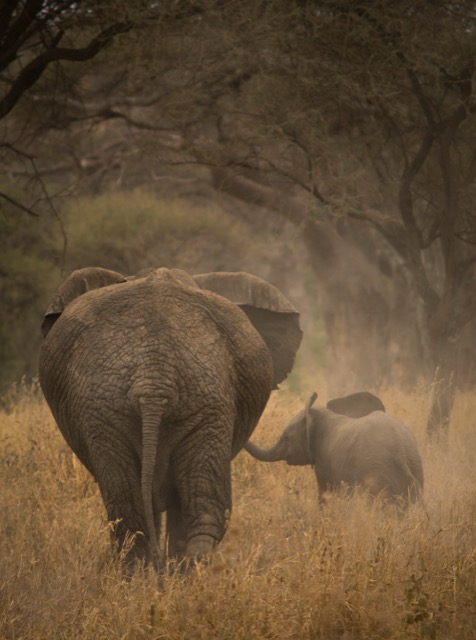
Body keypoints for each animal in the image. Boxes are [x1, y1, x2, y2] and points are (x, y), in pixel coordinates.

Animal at [244, 392, 424, 504]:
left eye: (286, 437)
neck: (322, 416)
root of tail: (401, 455)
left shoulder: (323, 462)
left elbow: (324, 495)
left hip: (378, 474)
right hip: (416, 468)